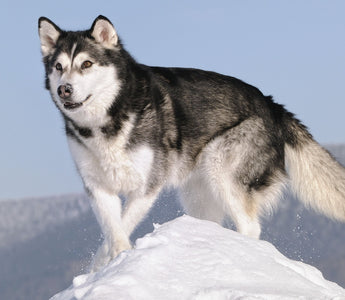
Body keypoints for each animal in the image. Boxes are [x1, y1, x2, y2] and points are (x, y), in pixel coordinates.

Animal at [37, 15, 344, 270]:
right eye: (59, 67)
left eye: (86, 64)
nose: (64, 89)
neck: (108, 119)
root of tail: (271, 104)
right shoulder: (97, 187)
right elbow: (113, 231)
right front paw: (100, 268)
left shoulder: (148, 186)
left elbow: (123, 226)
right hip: (198, 194)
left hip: (222, 171)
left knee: (250, 226)